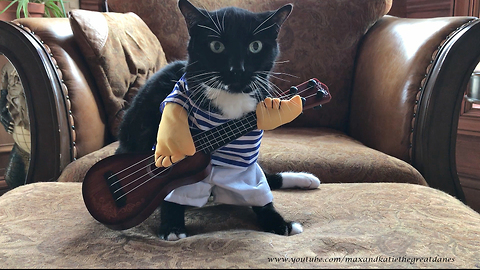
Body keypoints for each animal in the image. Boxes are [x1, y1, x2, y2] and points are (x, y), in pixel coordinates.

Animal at [114, 0, 320, 240]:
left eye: (255, 46)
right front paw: (172, 227)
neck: (230, 97)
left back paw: (306, 179)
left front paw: (277, 222)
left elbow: (257, 187)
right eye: (216, 46)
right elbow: (172, 186)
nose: (237, 70)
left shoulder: (246, 148)